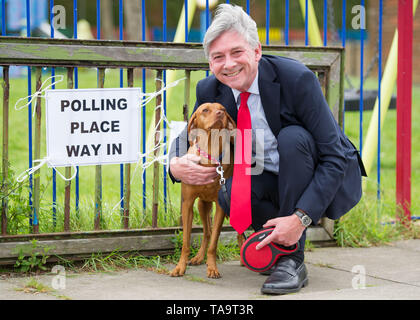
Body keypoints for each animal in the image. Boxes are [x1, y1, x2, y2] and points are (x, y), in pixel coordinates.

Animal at [168, 102, 240, 278]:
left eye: (223, 109)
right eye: (205, 109)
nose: (220, 113)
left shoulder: (221, 206)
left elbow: (214, 243)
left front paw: (212, 268)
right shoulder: (187, 204)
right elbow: (186, 242)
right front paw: (180, 267)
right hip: (202, 205)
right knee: (207, 232)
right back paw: (199, 257)